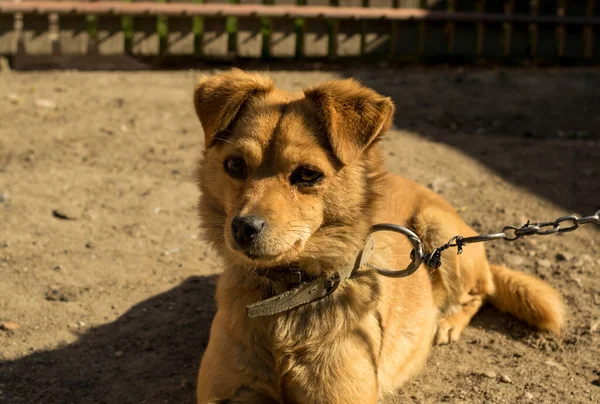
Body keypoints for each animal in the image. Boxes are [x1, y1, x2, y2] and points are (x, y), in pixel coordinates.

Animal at [195, 68, 564, 402]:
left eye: (308, 174)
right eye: (235, 165)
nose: (244, 227)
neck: (287, 294)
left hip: (440, 232)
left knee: (480, 292)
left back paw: (447, 321)